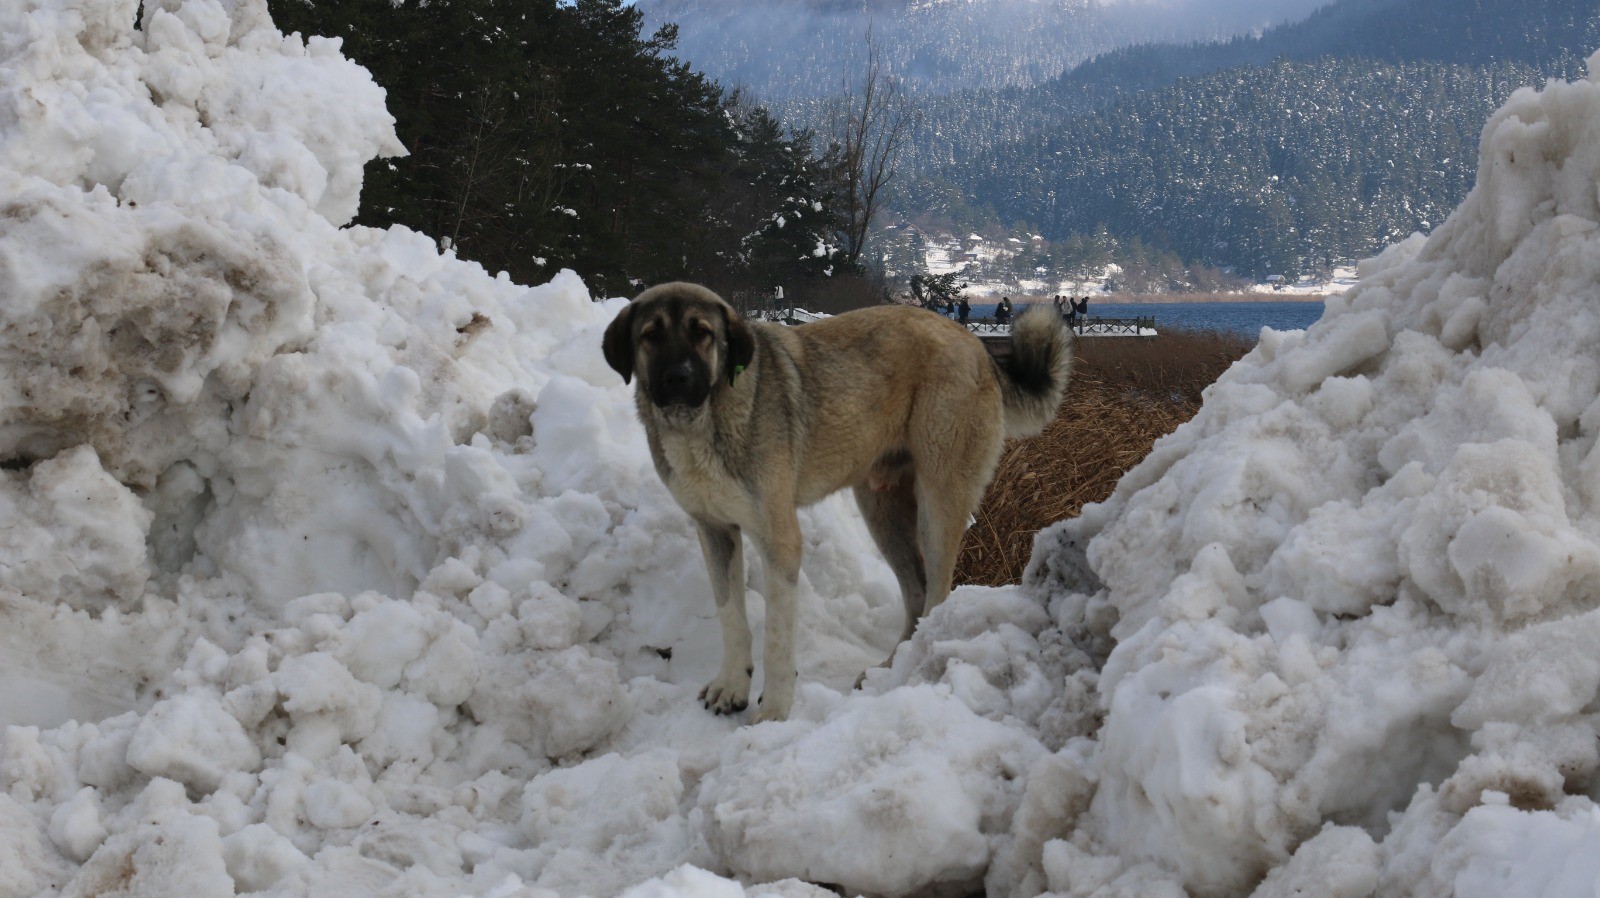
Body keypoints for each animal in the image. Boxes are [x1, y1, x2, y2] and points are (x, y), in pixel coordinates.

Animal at [601, 283, 1075, 723]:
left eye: (702, 332)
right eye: (650, 335)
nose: (678, 378)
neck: (703, 420)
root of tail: (978, 347)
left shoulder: (779, 541)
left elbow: (777, 639)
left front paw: (773, 712)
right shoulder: (714, 531)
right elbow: (731, 617)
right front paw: (731, 687)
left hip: (938, 505)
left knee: (937, 593)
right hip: (882, 512)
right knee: (917, 592)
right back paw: (891, 669)